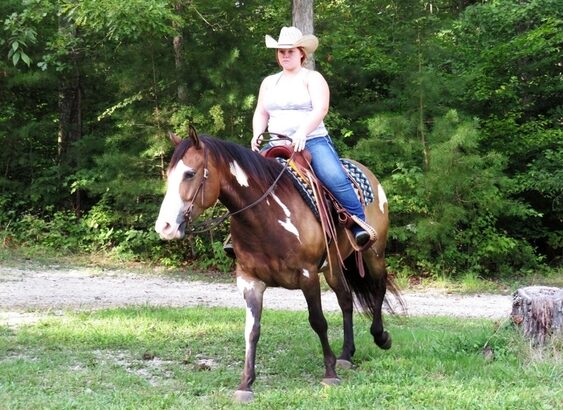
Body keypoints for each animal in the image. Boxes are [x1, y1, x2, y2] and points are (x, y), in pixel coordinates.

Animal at [155, 126, 400, 402]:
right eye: (169, 175)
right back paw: (346, 355)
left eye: (190, 173)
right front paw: (245, 384)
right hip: (335, 266)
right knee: (346, 299)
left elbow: (318, 321)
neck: (265, 215)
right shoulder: (249, 281)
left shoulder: (308, 275)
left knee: (379, 287)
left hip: (373, 253)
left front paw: (329, 373)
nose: (164, 226)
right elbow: (252, 330)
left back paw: (381, 337)